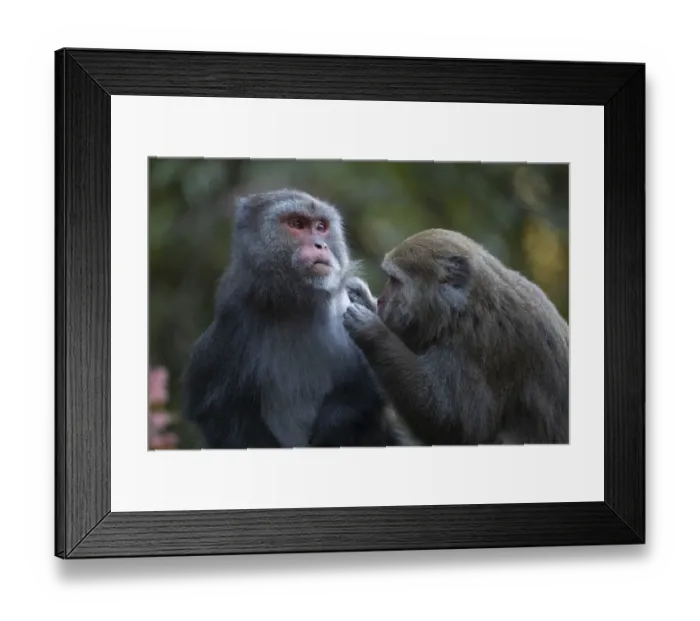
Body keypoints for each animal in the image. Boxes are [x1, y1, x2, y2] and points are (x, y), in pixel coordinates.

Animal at [181, 189, 407, 449]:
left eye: (320, 226)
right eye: (297, 224)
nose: (320, 245)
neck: (295, 304)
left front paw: (338, 416)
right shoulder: (233, 318)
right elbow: (218, 410)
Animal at [342, 228, 569, 446]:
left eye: (395, 281)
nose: (381, 300)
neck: (464, 309)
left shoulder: (476, 345)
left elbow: (454, 424)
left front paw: (372, 331)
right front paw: (362, 298)